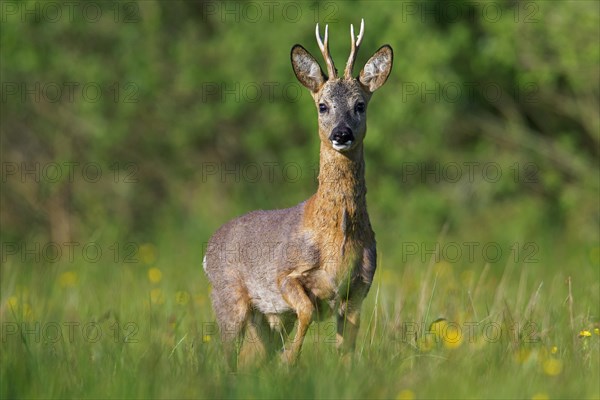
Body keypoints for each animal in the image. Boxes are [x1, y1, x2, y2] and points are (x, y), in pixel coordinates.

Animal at [204, 19, 394, 368]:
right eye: (323, 105)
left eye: (360, 105)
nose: (341, 134)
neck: (336, 240)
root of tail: (209, 248)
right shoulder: (286, 275)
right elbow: (306, 309)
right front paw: (289, 359)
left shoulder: (358, 290)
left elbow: (347, 348)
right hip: (228, 297)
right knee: (226, 356)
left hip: (268, 318)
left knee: (255, 353)